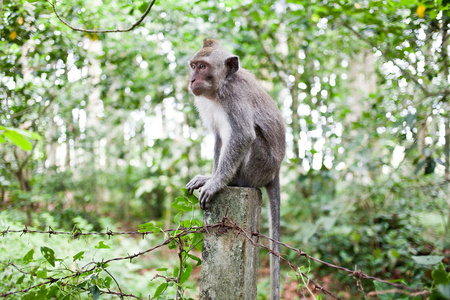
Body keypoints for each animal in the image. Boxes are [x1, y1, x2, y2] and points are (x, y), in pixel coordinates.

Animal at [185, 39, 284, 300]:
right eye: (193, 66)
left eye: (202, 66)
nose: (192, 79)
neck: (221, 87)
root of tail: (276, 171)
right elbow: (220, 137)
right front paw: (210, 177)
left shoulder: (233, 98)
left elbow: (242, 135)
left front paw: (217, 183)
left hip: (261, 166)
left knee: (251, 139)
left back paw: (233, 182)